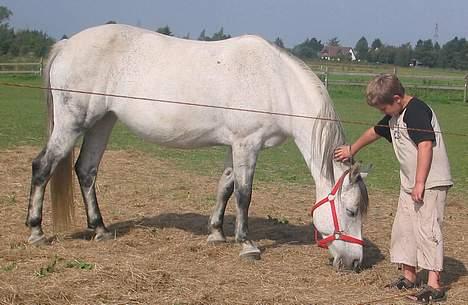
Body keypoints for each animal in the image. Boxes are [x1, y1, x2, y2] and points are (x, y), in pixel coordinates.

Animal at [26, 25, 370, 270]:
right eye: (351, 210)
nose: (354, 263)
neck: (276, 82)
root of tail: (67, 44)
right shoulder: (247, 144)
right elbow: (244, 195)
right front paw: (247, 245)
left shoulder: (234, 146)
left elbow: (225, 187)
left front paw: (216, 233)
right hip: (72, 123)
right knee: (42, 167)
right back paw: (36, 232)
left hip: (102, 122)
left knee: (86, 170)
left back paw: (100, 229)